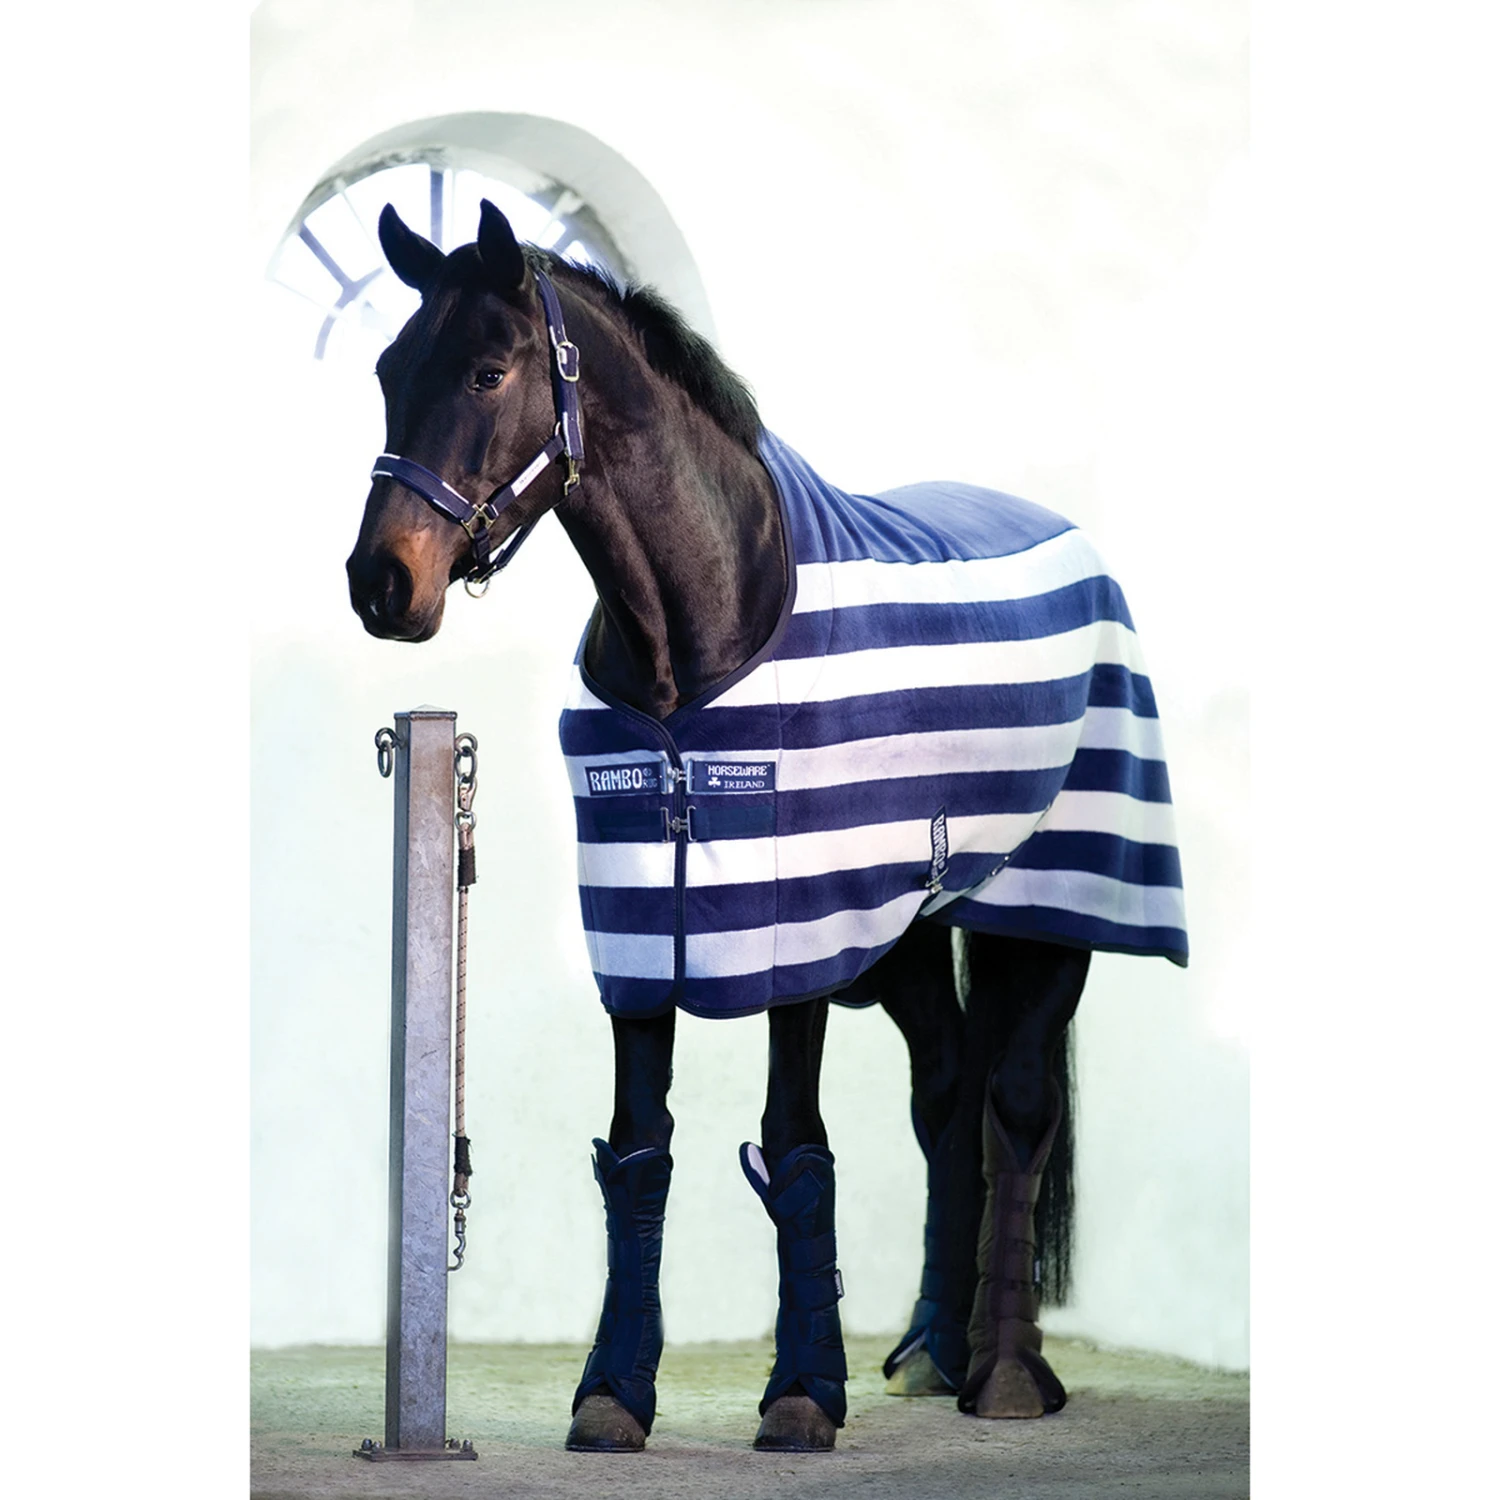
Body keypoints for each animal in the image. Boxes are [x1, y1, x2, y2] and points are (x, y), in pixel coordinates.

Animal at [346, 200, 1188, 1454]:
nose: (381, 582)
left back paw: (1004, 1373)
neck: (697, 639)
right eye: (391, 370)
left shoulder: (798, 931)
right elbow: (638, 1149)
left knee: (1017, 1104)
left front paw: (800, 1393)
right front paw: (612, 1393)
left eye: (489, 371)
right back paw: (931, 1350)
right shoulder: (644, 925)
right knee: (946, 1096)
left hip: (1048, 907)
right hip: (905, 936)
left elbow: (795, 1144)